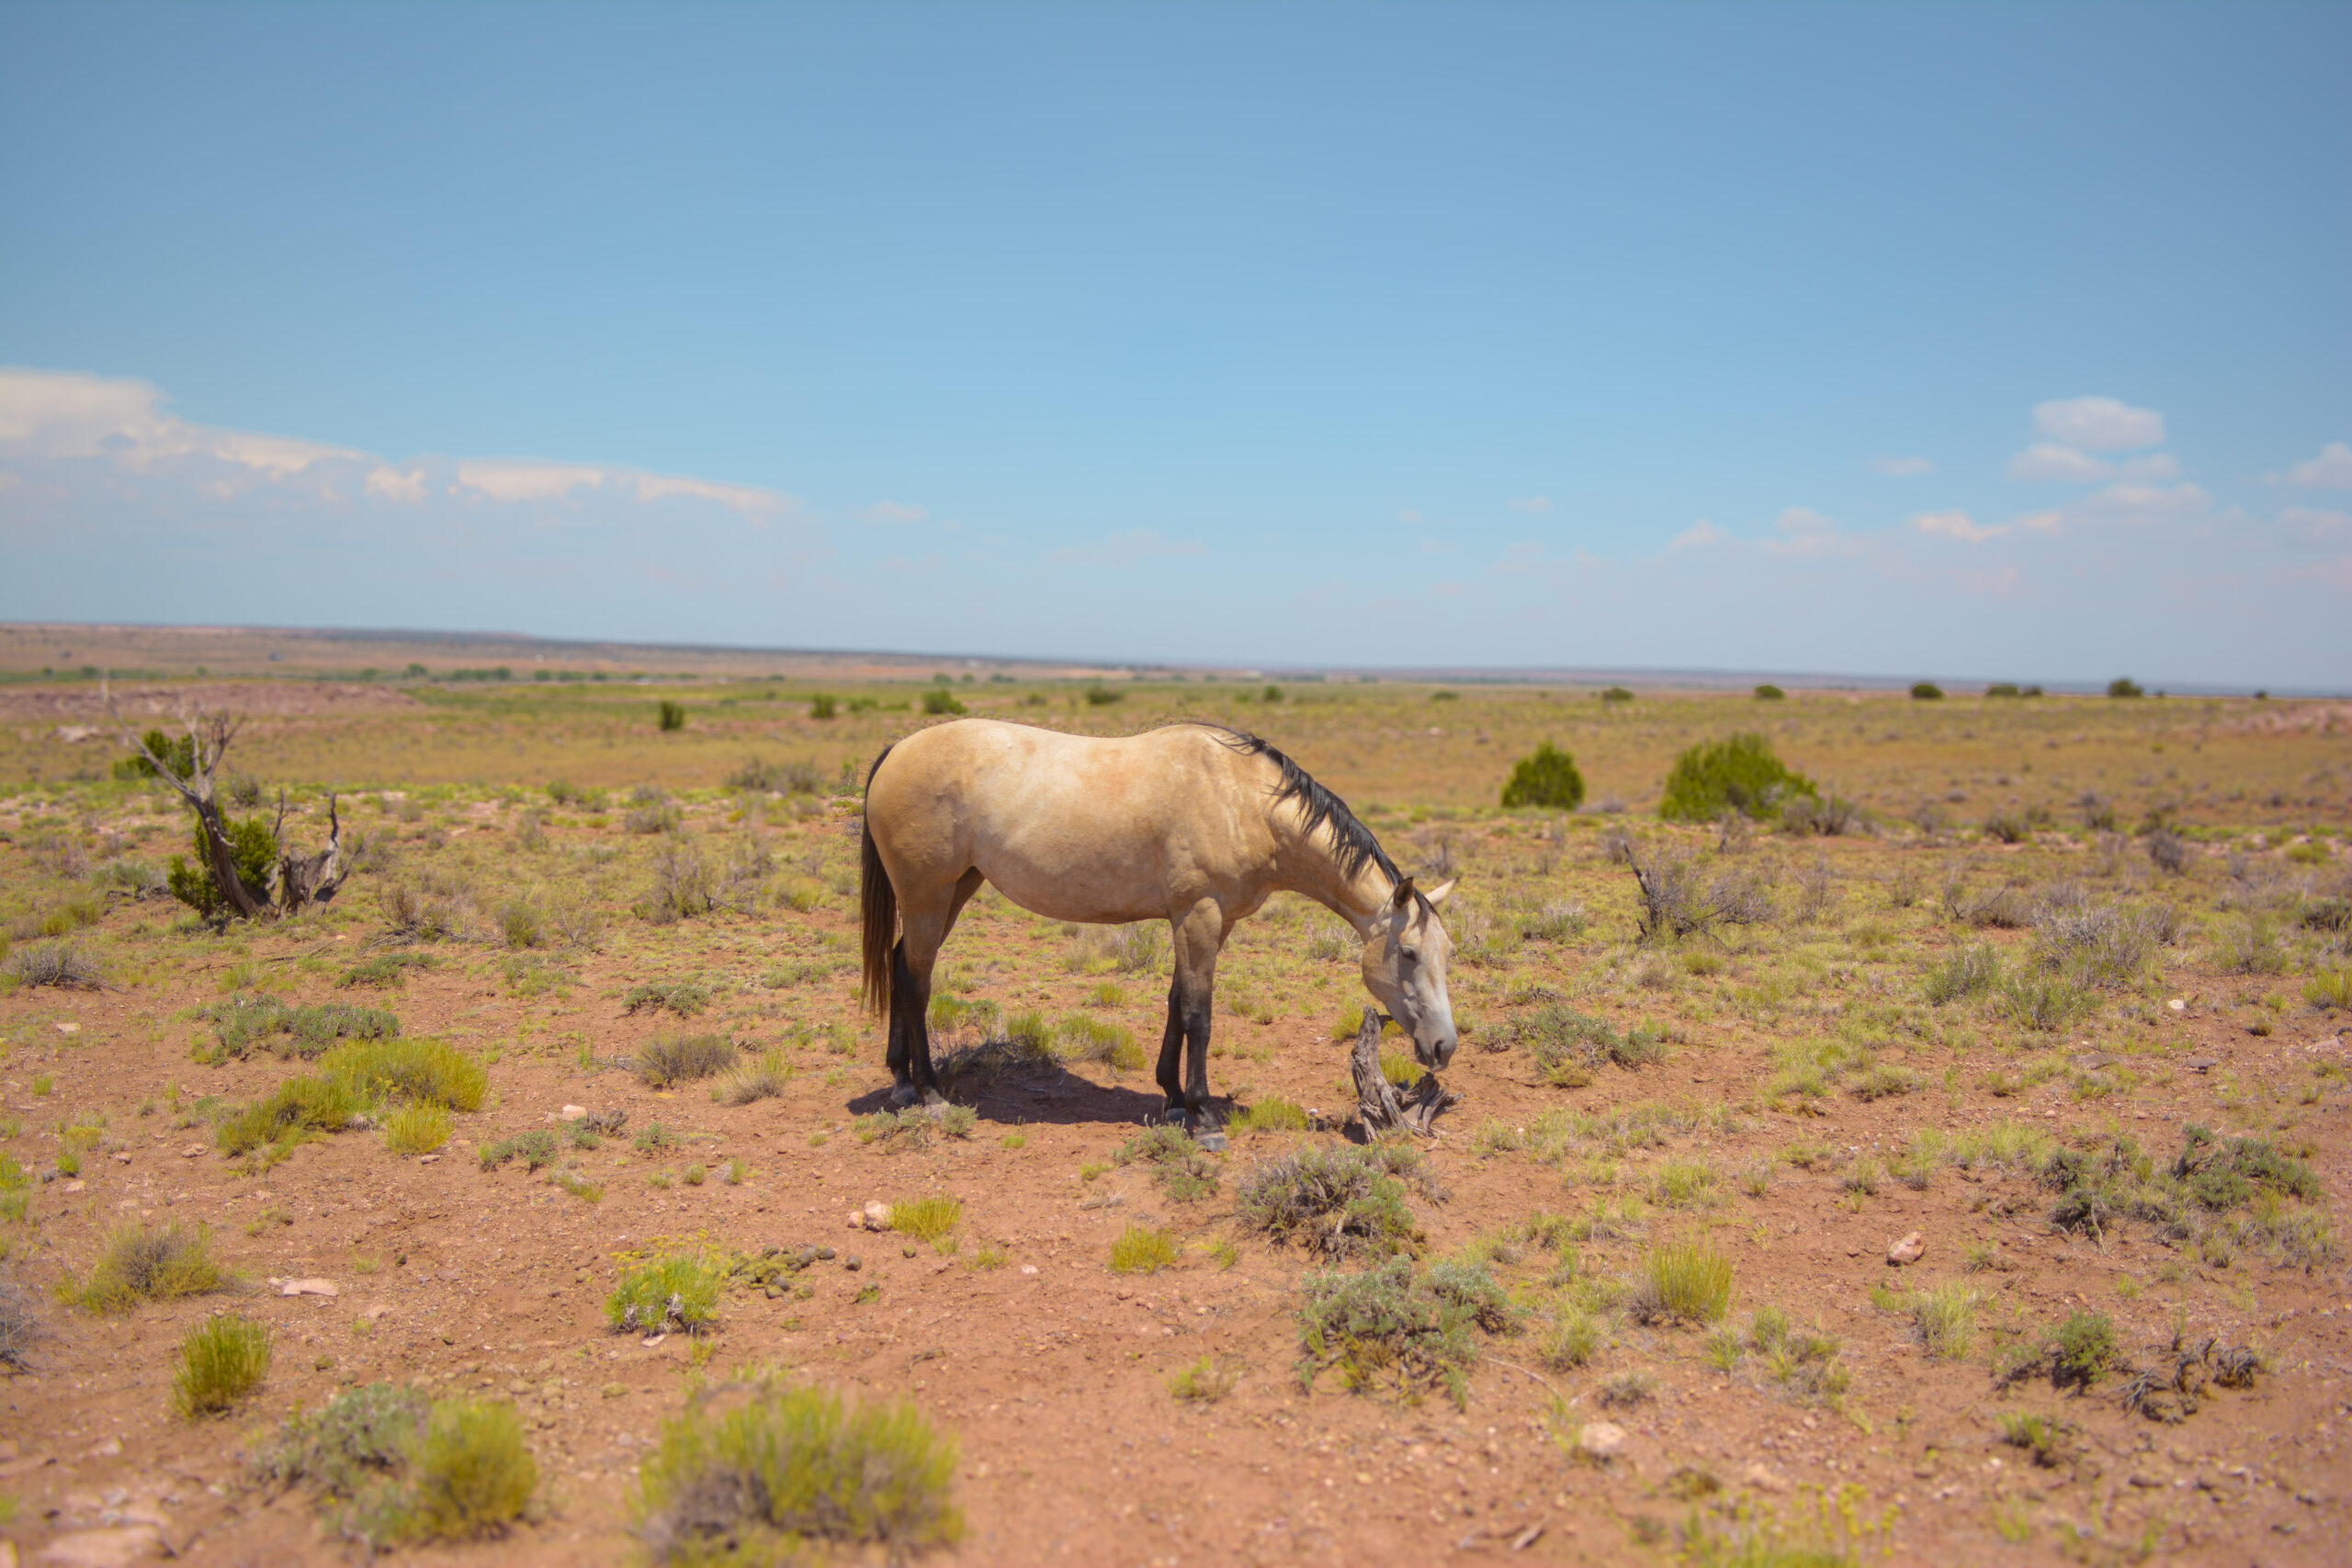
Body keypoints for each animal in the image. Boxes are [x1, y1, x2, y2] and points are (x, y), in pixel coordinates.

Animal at [858, 718, 1457, 1142]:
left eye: (1446, 952)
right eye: (1408, 952)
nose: (1444, 1046)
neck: (1242, 799)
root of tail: (897, 751)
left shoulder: (1209, 922)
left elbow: (1176, 1002)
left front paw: (1171, 1096)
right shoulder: (1198, 915)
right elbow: (1199, 1014)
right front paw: (1204, 1116)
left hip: (956, 888)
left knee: (898, 962)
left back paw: (902, 1081)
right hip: (928, 894)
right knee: (915, 981)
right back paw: (930, 1092)